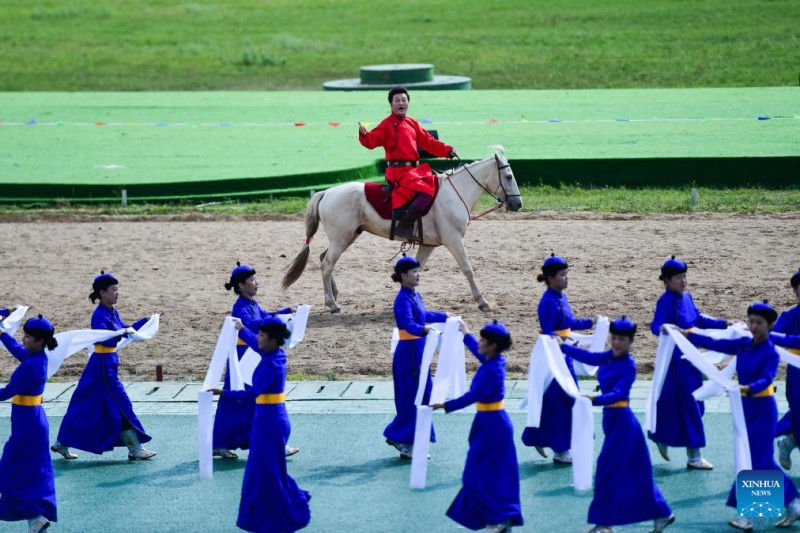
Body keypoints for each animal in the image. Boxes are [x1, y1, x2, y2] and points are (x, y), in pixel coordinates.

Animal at [282, 152, 524, 312]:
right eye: (509, 176)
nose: (518, 204)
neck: (454, 194)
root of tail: (326, 192)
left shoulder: (428, 245)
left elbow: (417, 269)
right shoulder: (454, 241)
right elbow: (468, 270)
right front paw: (482, 302)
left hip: (348, 236)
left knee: (325, 259)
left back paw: (334, 294)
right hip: (341, 238)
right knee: (326, 264)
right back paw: (332, 303)